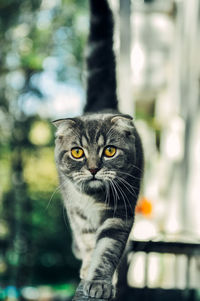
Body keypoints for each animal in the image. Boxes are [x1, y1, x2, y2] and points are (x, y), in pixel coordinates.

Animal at [53, 0, 144, 298]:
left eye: (109, 151)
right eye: (77, 152)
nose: (93, 168)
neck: (93, 199)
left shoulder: (120, 212)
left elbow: (106, 249)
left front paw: (101, 281)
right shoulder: (78, 214)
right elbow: (89, 244)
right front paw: (88, 270)